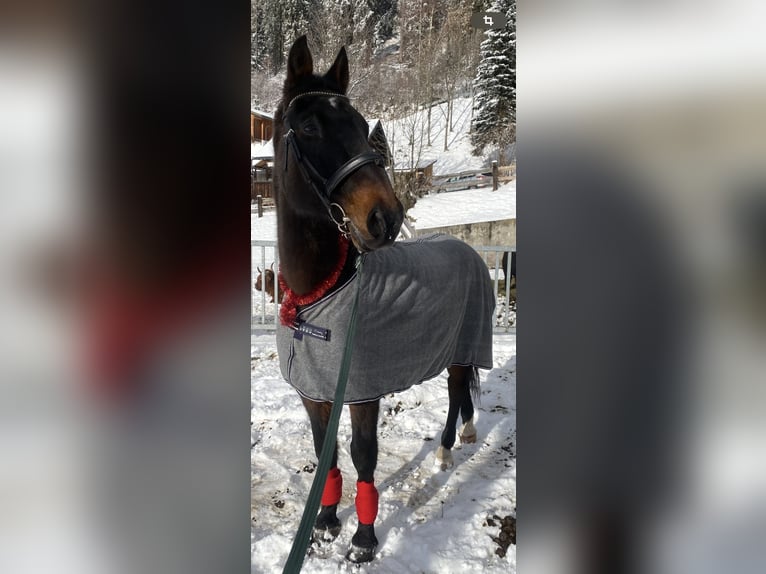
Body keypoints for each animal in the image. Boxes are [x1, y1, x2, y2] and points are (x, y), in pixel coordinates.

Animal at [272, 36, 495, 564]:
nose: (386, 217)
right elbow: (326, 453)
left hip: (462, 348)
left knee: (456, 392)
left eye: (360, 125)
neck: (318, 300)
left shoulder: (362, 392)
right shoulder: (314, 393)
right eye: (308, 127)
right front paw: (325, 523)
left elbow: (363, 455)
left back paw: (447, 448)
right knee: (462, 394)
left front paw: (363, 540)